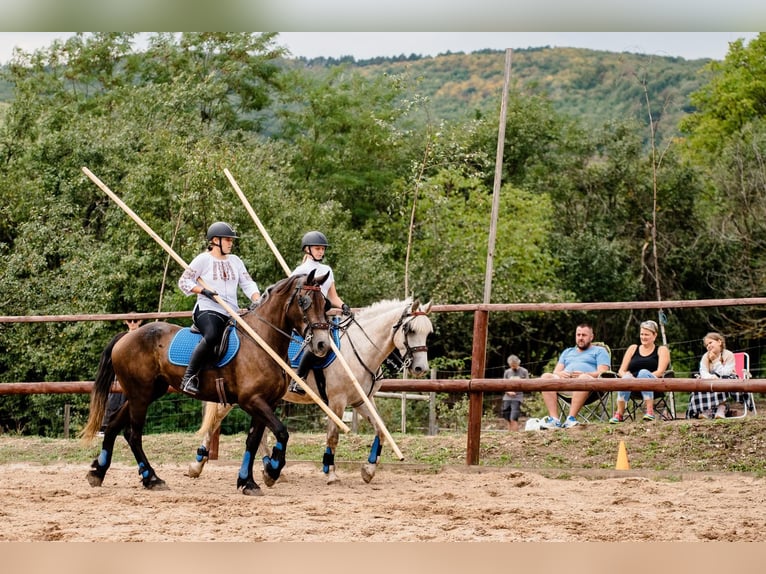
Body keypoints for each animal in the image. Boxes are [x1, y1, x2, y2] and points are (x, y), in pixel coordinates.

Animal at [81, 270, 332, 496]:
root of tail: (126, 337)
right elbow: (281, 432)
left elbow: (253, 441)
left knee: (114, 426)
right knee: (133, 435)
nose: (322, 345)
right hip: (140, 394)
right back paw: (151, 478)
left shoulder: (267, 403)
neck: (262, 342)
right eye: (305, 301)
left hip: (145, 393)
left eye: (325, 304)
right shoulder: (252, 401)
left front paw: (248, 481)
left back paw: (99, 472)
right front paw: (271, 470)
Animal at [189, 298, 433, 484]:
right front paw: (331, 472)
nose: (421, 368)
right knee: (215, 422)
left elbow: (381, 430)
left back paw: (270, 468)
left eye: (428, 332)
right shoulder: (336, 402)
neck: (359, 349)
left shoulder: (362, 401)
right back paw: (197, 464)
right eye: (410, 330)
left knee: (261, 433)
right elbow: (333, 436)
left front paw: (368, 470)